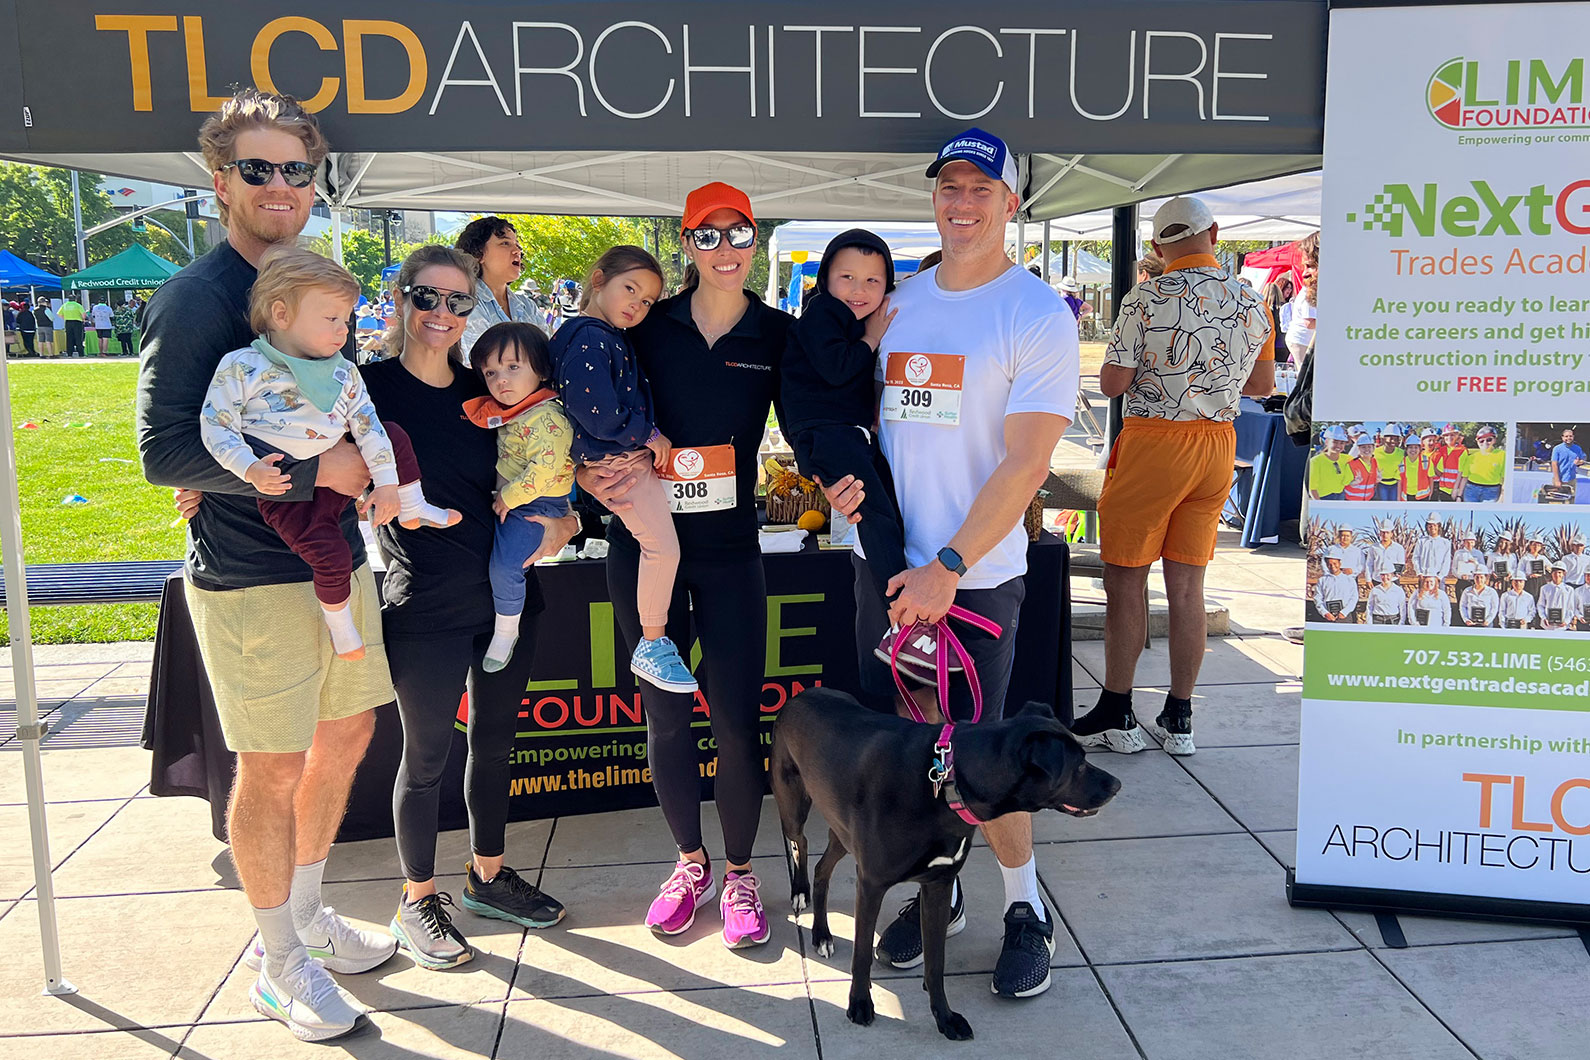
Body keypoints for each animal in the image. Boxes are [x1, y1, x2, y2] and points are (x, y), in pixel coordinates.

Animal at [769, 689, 1119, 1042]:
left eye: (1084, 757)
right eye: (1077, 767)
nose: (1116, 785)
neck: (946, 782)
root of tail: (802, 695)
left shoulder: (938, 885)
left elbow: (935, 964)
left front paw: (945, 1018)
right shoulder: (870, 884)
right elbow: (863, 955)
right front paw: (860, 1004)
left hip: (842, 830)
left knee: (822, 869)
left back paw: (821, 931)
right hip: (793, 807)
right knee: (801, 842)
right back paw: (806, 904)